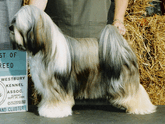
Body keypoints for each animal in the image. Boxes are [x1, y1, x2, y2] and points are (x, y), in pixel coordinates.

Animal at [9, 5, 157, 118]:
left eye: (17, 22)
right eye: (13, 20)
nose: (10, 27)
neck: (46, 47)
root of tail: (121, 46)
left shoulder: (57, 83)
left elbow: (58, 99)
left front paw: (54, 111)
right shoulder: (48, 85)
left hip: (123, 79)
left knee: (135, 92)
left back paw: (142, 108)